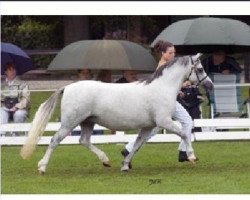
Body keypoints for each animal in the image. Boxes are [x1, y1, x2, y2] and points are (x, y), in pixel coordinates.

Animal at [21, 53, 213, 173]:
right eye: (200, 69)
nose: (210, 85)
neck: (162, 88)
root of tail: (67, 87)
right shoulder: (164, 121)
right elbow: (184, 133)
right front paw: (192, 156)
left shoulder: (148, 126)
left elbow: (137, 144)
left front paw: (125, 165)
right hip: (70, 122)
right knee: (55, 140)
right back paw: (42, 167)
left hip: (88, 122)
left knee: (84, 140)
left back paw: (105, 160)